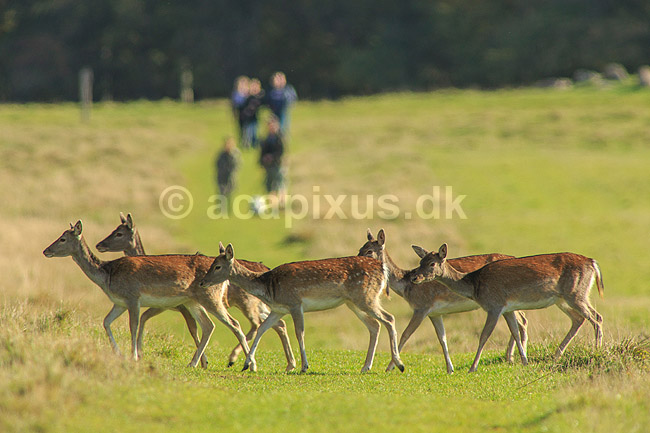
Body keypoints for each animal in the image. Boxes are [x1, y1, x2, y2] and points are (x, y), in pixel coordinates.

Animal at [43, 220, 253, 369]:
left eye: (63, 238)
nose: (46, 250)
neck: (107, 275)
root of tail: (225, 279)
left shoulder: (133, 297)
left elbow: (134, 326)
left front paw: (134, 356)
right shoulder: (119, 302)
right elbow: (106, 321)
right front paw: (119, 353)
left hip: (211, 298)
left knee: (234, 323)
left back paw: (249, 365)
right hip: (193, 302)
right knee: (209, 326)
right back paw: (194, 363)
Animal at [96, 213, 295, 371]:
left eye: (119, 233)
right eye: (115, 229)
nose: (99, 244)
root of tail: (265, 268)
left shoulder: (179, 305)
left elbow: (193, 328)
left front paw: (202, 361)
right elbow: (147, 318)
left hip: (247, 303)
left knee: (254, 324)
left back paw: (235, 359)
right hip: (262, 305)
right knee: (278, 324)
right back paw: (289, 364)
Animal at [199, 230, 405, 374]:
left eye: (217, 266)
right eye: (211, 264)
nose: (202, 282)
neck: (268, 286)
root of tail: (382, 269)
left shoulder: (295, 303)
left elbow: (299, 332)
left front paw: (304, 366)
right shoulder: (279, 309)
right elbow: (263, 329)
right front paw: (246, 363)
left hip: (366, 297)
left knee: (389, 318)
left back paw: (399, 364)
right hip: (354, 302)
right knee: (375, 325)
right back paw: (366, 367)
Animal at [358, 229, 527, 373]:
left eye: (369, 251)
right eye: (360, 248)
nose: (358, 259)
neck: (406, 287)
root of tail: (514, 257)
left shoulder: (421, 306)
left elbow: (405, 334)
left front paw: (391, 367)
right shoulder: (435, 313)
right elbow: (442, 338)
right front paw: (450, 369)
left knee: (522, 320)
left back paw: (514, 357)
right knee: (519, 321)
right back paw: (511, 357)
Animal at [408, 243, 604, 372]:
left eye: (432, 263)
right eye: (420, 262)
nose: (414, 277)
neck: (474, 285)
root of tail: (592, 262)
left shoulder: (494, 305)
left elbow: (484, 336)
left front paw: (472, 367)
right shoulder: (508, 308)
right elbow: (516, 332)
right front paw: (524, 361)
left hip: (576, 293)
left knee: (596, 318)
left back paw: (596, 352)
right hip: (564, 298)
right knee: (579, 318)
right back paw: (557, 355)